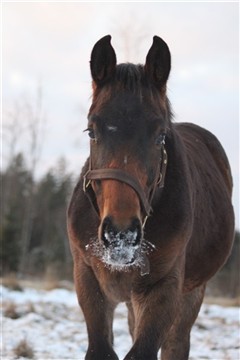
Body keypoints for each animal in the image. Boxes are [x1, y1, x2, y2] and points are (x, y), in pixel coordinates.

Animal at [67, 34, 234, 360]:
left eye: (160, 136)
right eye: (92, 131)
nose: (121, 235)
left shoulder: (165, 288)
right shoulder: (87, 278)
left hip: (192, 293)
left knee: (176, 343)